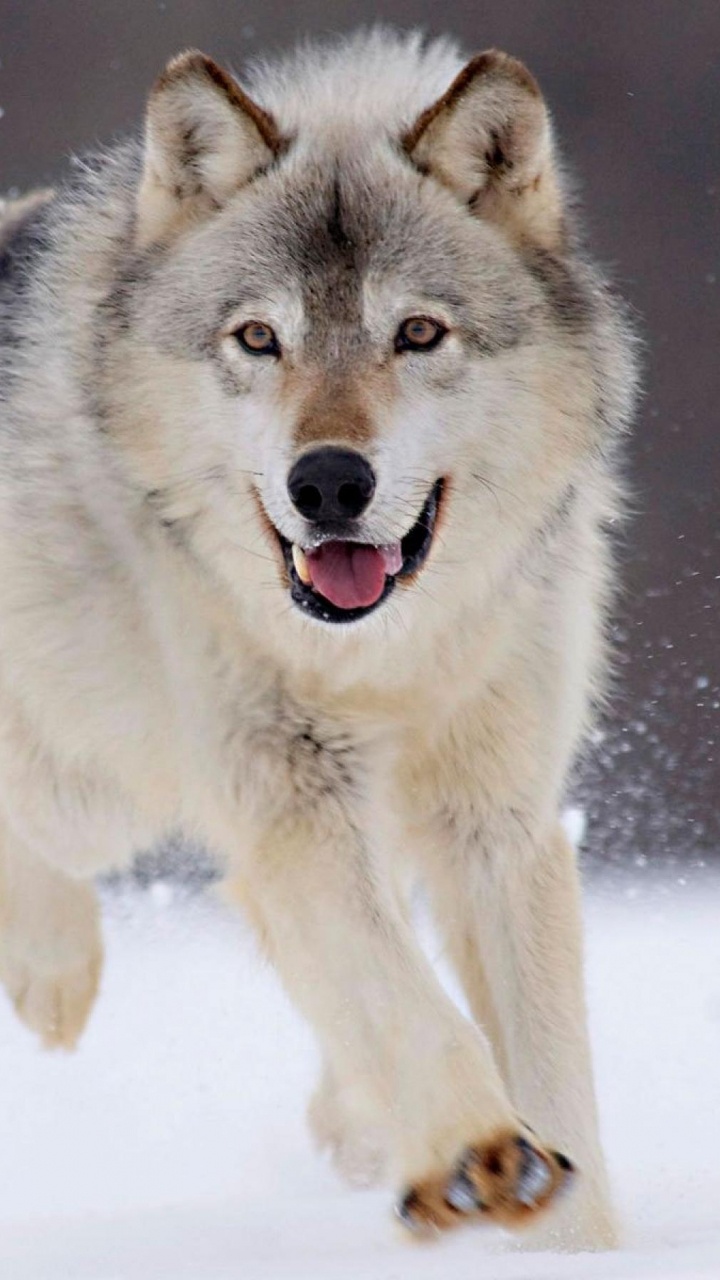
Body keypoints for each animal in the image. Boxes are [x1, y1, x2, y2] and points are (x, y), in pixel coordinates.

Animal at [0, 29, 636, 1249]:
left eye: (419, 333)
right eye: (259, 337)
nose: (330, 482)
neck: (381, 659)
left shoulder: (497, 820)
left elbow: (550, 1069)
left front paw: (573, 1242)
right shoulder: (289, 794)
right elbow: (406, 997)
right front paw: (479, 1153)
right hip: (95, 781)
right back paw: (57, 970)